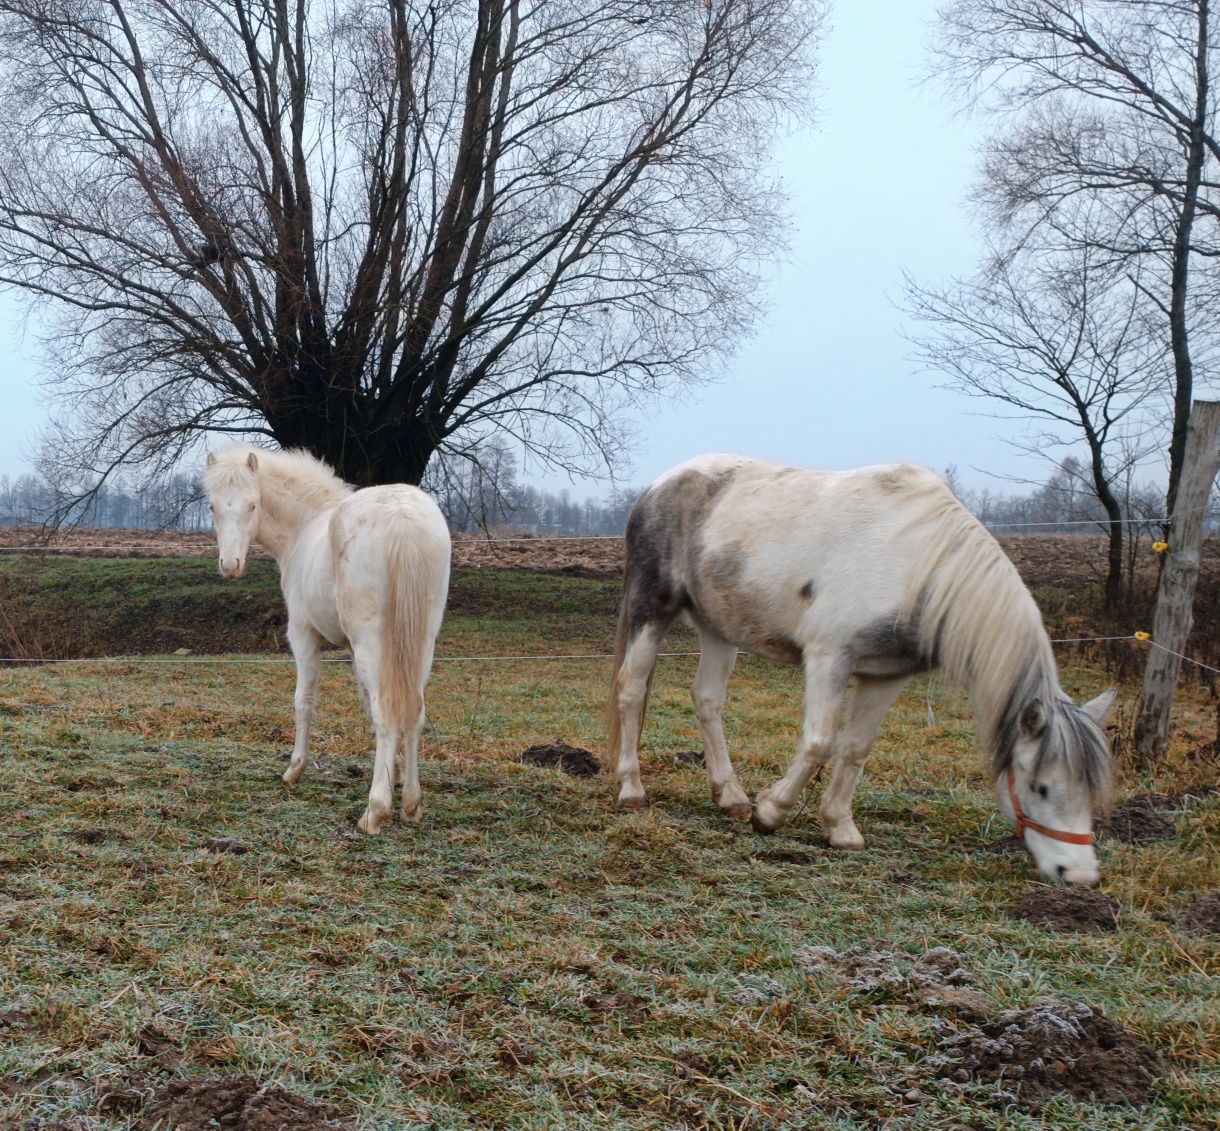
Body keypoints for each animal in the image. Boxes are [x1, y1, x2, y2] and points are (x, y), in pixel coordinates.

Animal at [204, 446, 453, 834]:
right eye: (213, 506)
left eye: (252, 505)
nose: (230, 565)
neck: (306, 527)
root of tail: (401, 515)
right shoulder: (354, 650)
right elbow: (367, 704)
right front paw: (394, 775)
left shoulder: (304, 636)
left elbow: (304, 702)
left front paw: (294, 770)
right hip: (419, 644)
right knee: (413, 710)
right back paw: (411, 804)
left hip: (374, 644)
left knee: (387, 712)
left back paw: (374, 811)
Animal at [610, 456, 1117, 888]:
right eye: (1041, 788)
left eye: (1092, 790)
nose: (1080, 875)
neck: (918, 564)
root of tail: (660, 484)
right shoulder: (828, 656)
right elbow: (819, 742)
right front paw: (771, 813)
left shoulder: (885, 675)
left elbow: (855, 749)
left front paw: (840, 828)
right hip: (651, 611)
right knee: (631, 692)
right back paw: (632, 788)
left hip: (719, 628)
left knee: (708, 700)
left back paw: (731, 796)